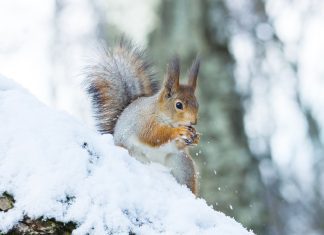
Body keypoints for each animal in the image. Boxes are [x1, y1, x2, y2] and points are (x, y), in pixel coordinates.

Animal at [87, 39, 201, 195]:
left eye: (197, 104)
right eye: (179, 105)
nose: (193, 122)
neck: (162, 114)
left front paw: (195, 138)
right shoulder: (145, 121)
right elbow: (153, 135)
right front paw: (178, 132)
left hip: (182, 164)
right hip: (134, 154)